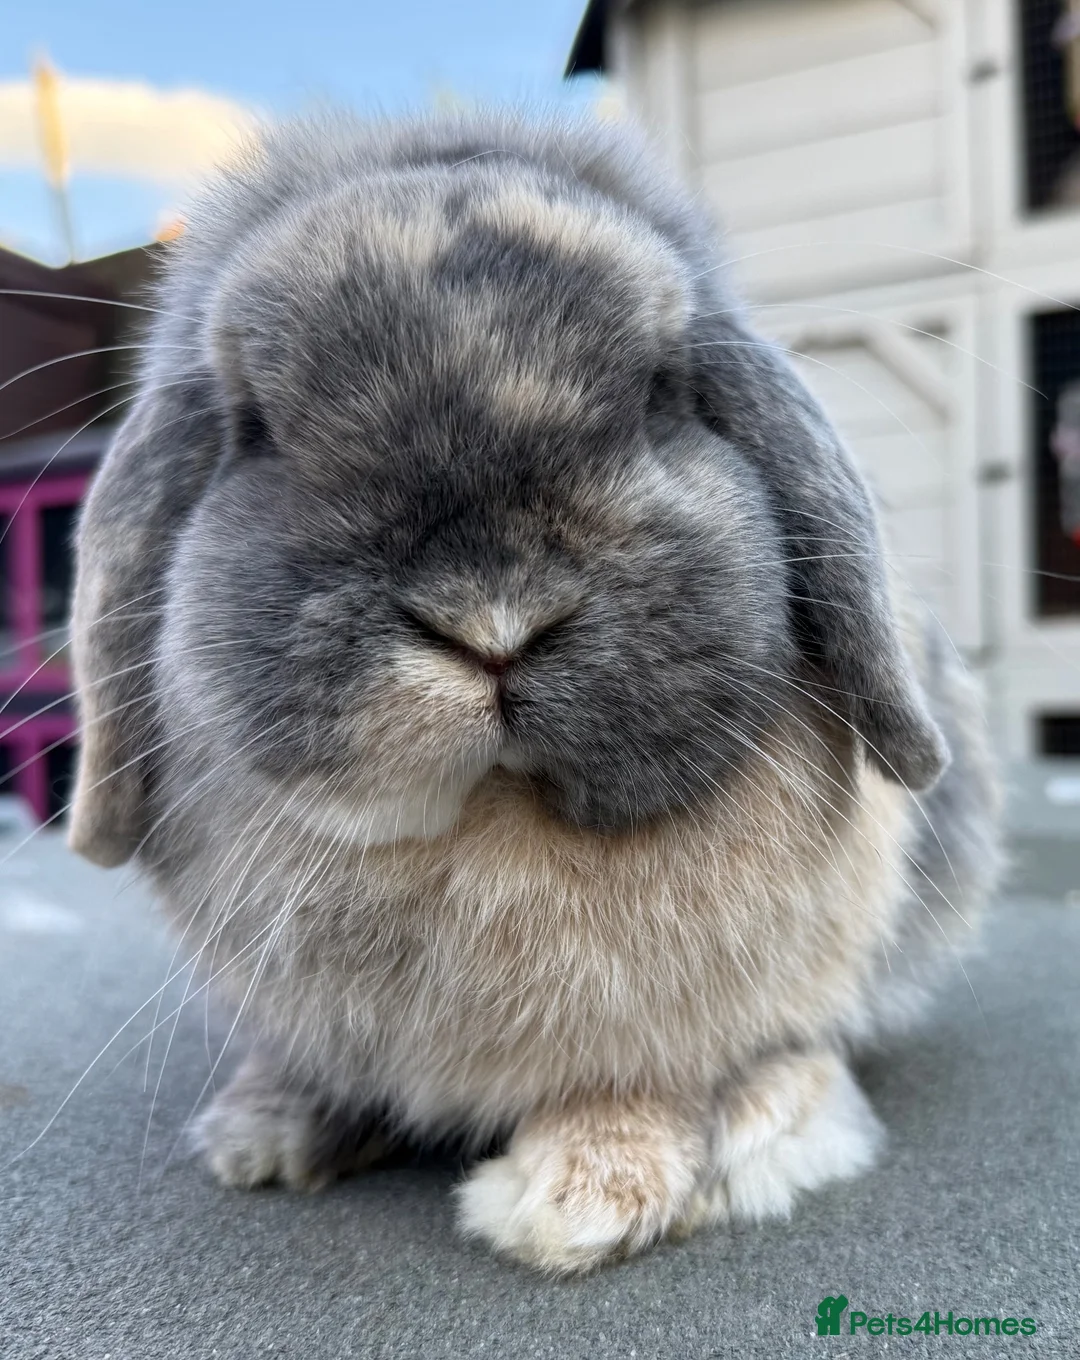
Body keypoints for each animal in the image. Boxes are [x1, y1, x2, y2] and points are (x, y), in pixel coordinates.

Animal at [68, 110, 1000, 1274]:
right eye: (258, 430)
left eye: (661, 395)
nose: (493, 623)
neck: (494, 821)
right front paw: (265, 1132)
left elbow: (661, 1078)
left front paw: (577, 1196)